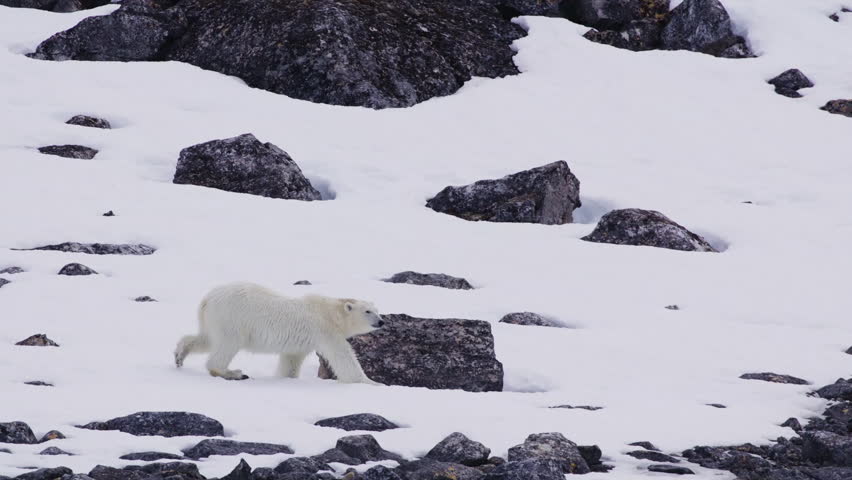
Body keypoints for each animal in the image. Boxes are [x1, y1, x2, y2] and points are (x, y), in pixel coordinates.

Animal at [174, 282, 385, 384]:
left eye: (377, 310)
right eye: (368, 311)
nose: (381, 321)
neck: (331, 312)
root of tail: (207, 299)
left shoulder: (300, 344)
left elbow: (290, 361)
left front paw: (286, 378)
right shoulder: (326, 330)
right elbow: (344, 359)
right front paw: (372, 383)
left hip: (214, 319)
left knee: (207, 339)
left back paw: (180, 355)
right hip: (233, 317)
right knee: (227, 345)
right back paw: (233, 372)